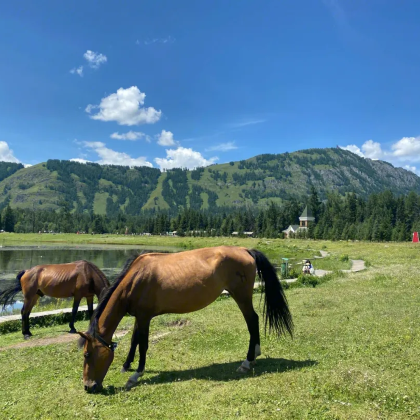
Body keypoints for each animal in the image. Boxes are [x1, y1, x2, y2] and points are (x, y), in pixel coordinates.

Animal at [77, 244, 294, 392]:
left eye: (87, 355)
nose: (88, 386)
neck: (135, 279)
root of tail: (245, 250)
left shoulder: (145, 317)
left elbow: (143, 344)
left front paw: (136, 375)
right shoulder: (140, 316)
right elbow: (134, 340)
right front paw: (126, 365)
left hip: (241, 296)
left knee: (252, 320)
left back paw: (247, 362)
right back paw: (255, 354)